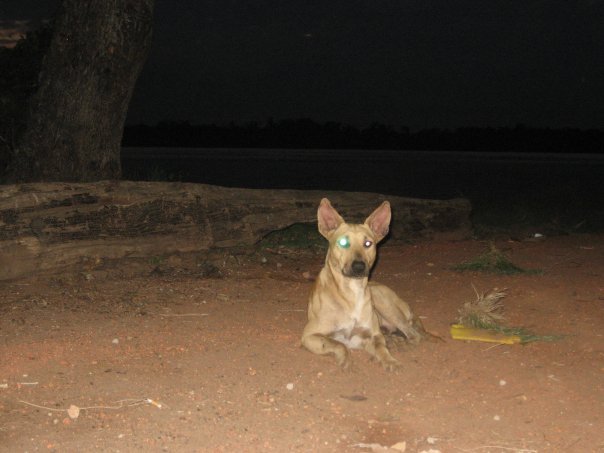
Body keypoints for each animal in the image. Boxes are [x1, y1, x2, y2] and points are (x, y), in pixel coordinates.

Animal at [300, 198, 422, 370]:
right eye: (343, 242)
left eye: (368, 243)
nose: (359, 266)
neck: (350, 292)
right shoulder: (309, 335)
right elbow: (338, 344)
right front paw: (345, 361)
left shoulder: (371, 335)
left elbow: (380, 347)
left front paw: (390, 360)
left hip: (384, 303)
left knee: (413, 334)